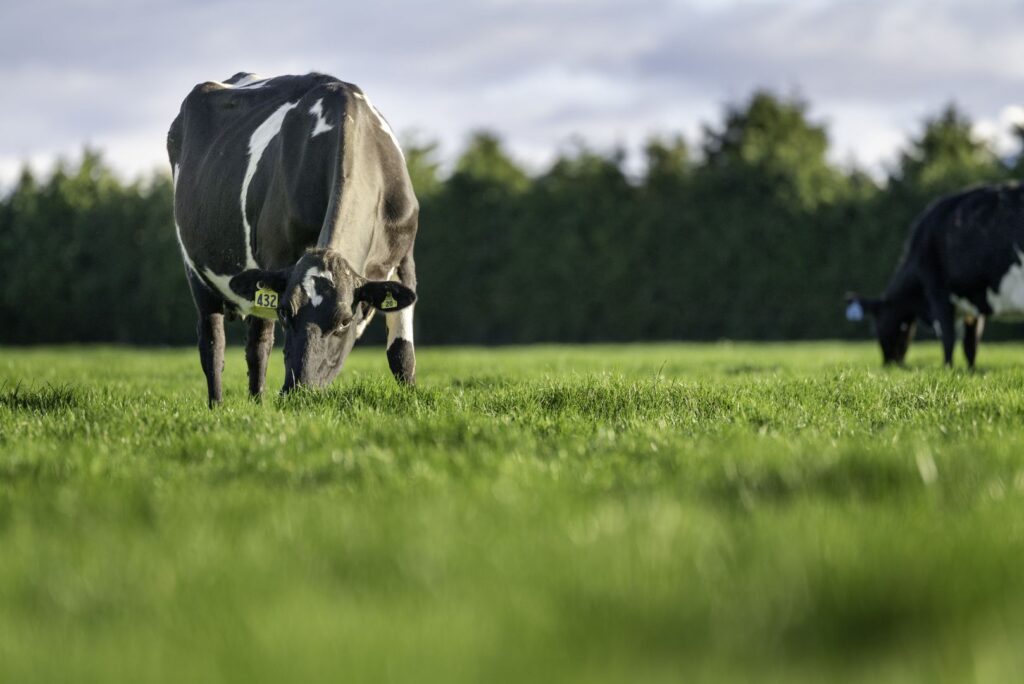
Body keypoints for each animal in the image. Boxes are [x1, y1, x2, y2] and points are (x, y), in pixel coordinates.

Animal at [167, 72, 418, 406]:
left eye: (344, 321)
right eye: (286, 312)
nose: (298, 392)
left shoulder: (405, 255)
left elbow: (402, 355)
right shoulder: (276, 259)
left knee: (254, 345)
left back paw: (256, 403)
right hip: (195, 268)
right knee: (219, 345)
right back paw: (218, 406)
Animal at [846, 182, 1024, 368]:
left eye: (876, 328)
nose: (890, 364)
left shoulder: (937, 291)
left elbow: (948, 337)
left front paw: (948, 368)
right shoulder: (973, 301)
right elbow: (971, 345)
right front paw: (970, 370)